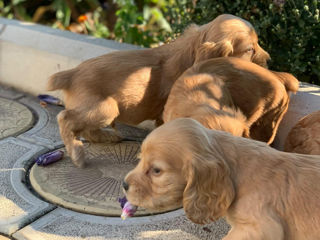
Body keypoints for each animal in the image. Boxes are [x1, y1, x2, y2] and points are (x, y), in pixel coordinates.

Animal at [47, 13, 270, 167]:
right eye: (250, 50)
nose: (269, 59)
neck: (191, 50)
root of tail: (72, 73)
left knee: (87, 129)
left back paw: (107, 137)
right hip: (106, 108)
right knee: (65, 118)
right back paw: (77, 153)